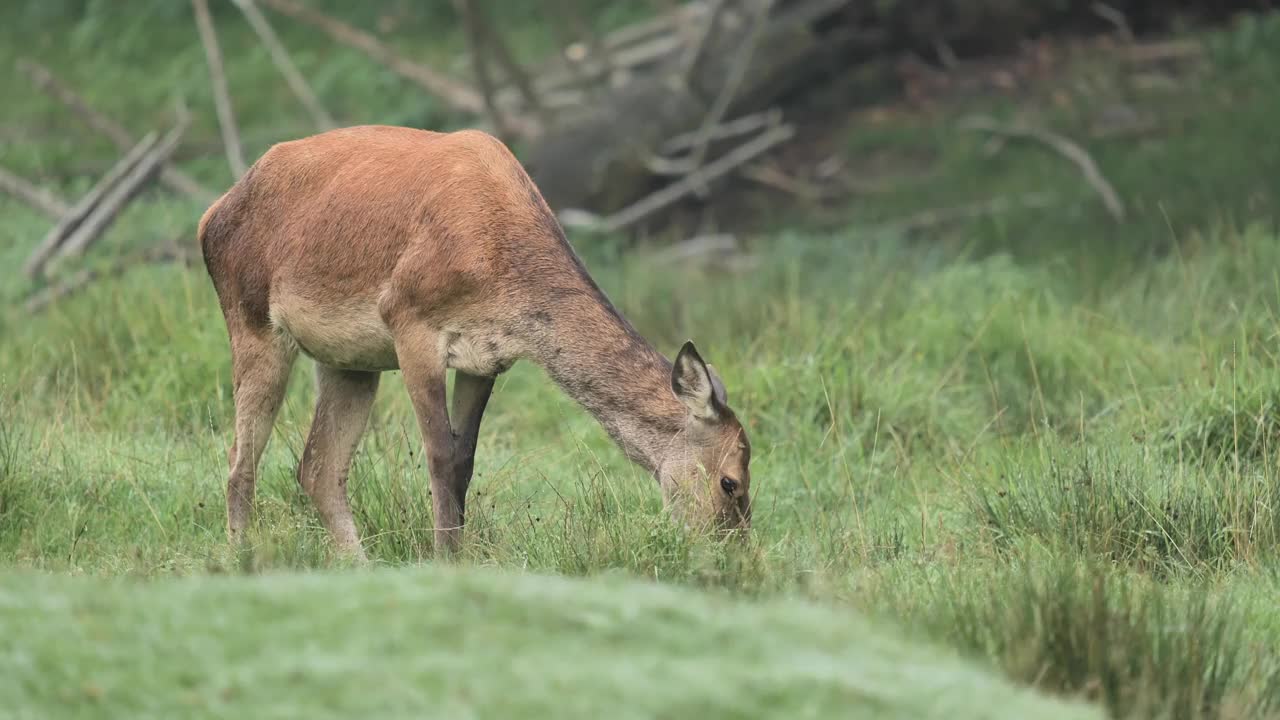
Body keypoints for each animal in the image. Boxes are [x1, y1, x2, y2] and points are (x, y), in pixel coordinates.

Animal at [198, 124, 747, 556]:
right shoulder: (409, 323)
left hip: (349, 362)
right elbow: (439, 454)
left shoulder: (486, 359)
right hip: (251, 320)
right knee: (240, 461)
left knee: (317, 467)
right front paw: (445, 557)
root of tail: (210, 215)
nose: (732, 556)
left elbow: (465, 460)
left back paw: (358, 563)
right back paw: (242, 556)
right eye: (731, 482)